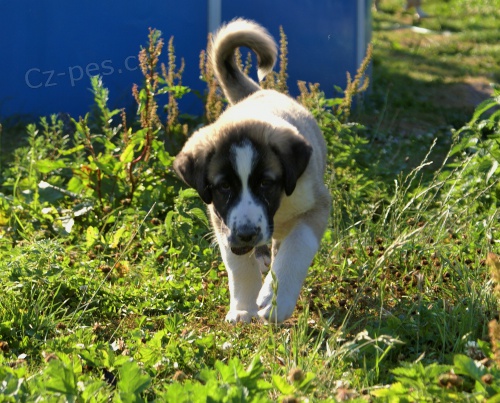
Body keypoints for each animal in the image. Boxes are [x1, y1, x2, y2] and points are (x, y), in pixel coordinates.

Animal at [173, 19, 331, 323]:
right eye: (224, 187)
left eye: (266, 184)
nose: (247, 234)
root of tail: (257, 92)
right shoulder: (222, 221)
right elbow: (238, 266)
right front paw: (243, 307)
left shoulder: (316, 204)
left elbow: (297, 246)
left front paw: (275, 299)